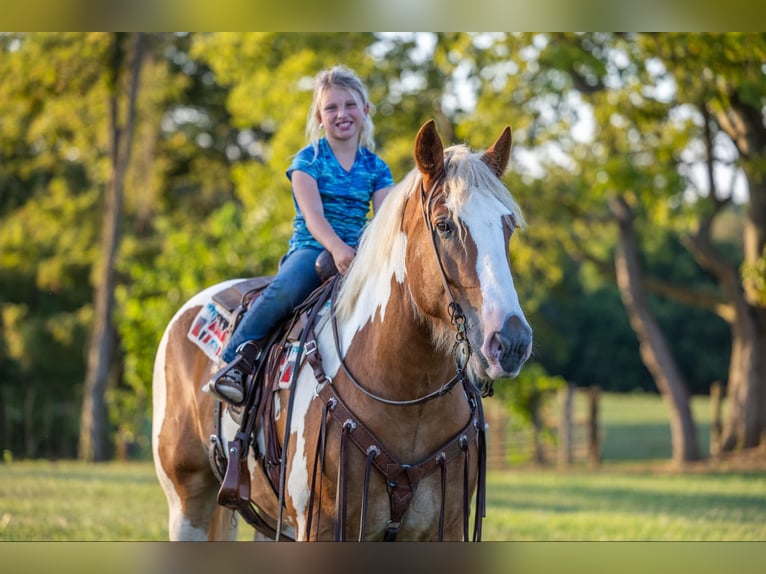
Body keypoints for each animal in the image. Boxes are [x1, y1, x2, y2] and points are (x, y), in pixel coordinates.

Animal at [152, 119, 536, 544]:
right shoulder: (319, 527)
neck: (406, 398)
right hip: (187, 503)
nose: (511, 341)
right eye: (444, 225)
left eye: (508, 227)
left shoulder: (446, 529)